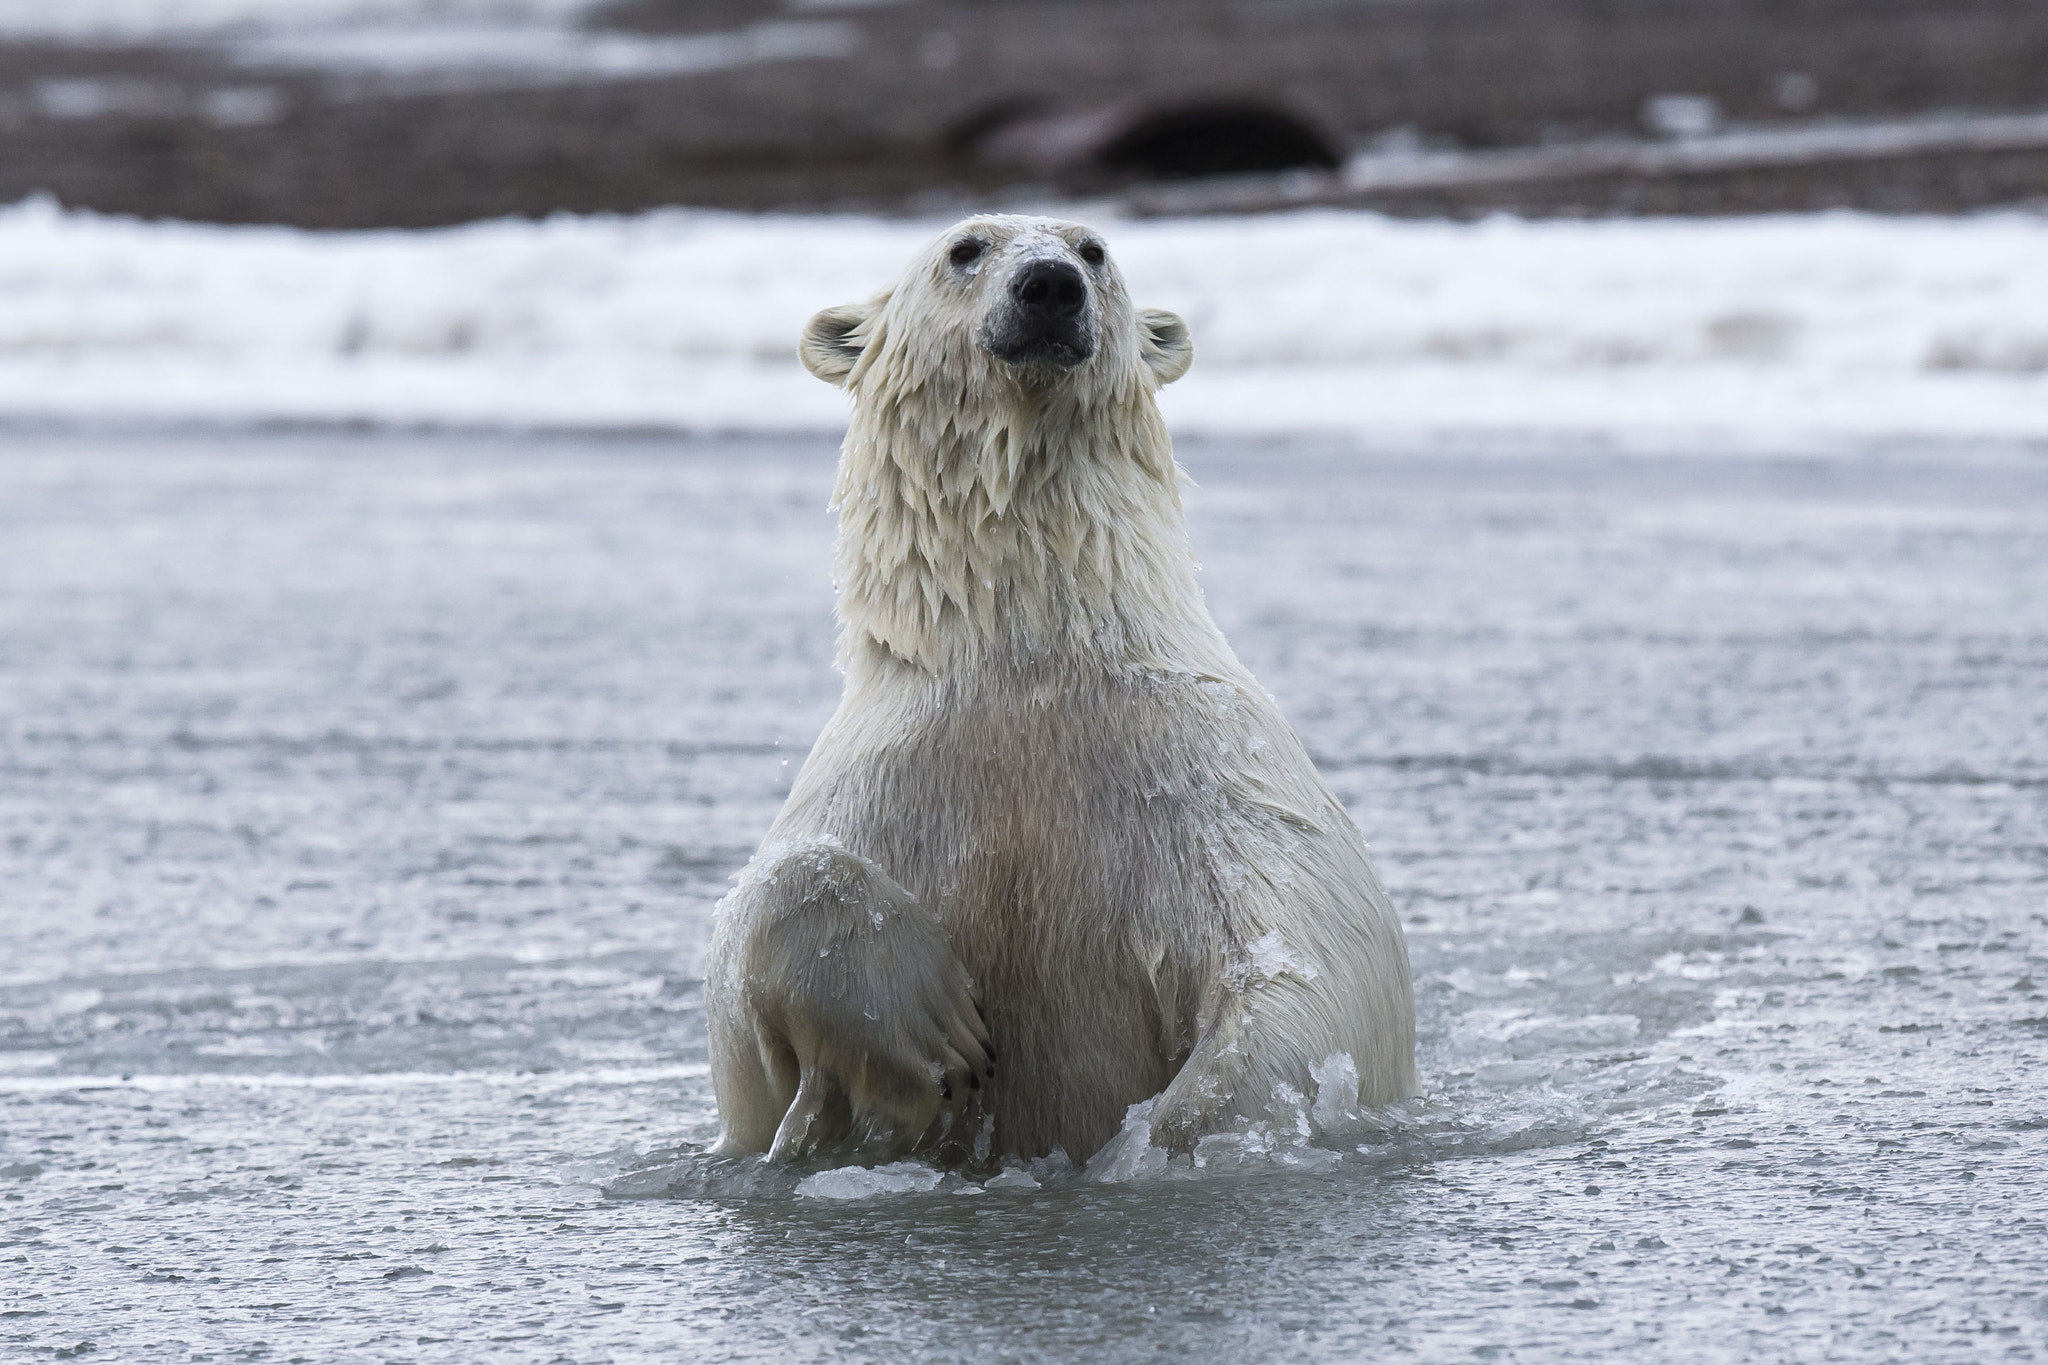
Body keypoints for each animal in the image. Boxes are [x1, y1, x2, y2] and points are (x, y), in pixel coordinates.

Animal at [704, 213, 1409, 1162]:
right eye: (965, 248)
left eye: (1093, 249)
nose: (1049, 286)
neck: (1030, 662)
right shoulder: (885, 786)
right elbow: (747, 984)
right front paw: (933, 1031)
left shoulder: (1215, 779)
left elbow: (1311, 967)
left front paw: (1174, 1135)